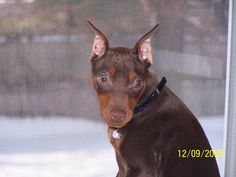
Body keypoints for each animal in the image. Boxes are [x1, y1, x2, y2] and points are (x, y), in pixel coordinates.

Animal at [87, 20, 220, 177]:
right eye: (103, 79)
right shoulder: (124, 168)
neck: (146, 102)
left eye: (138, 83)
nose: (117, 116)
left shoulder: (143, 169)